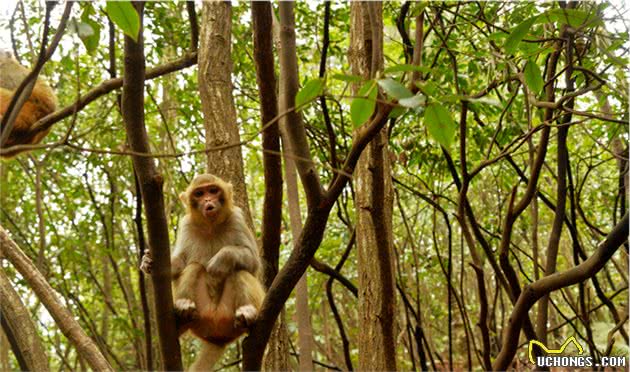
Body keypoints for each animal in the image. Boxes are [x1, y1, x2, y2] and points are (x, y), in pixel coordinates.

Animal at [141, 174, 264, 372]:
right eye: (199, 193)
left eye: (213, 190)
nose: (207, 200)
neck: (211, 226)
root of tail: (217, 336)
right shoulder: (186, 225)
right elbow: (180, 263)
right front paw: (147, 262)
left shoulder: (237, 219)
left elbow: (253, 263)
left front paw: (221, 259)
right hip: (200, 317)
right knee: (195, 267)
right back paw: (183, 309)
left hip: (229, 318)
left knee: (239, 271)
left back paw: (248, 313)